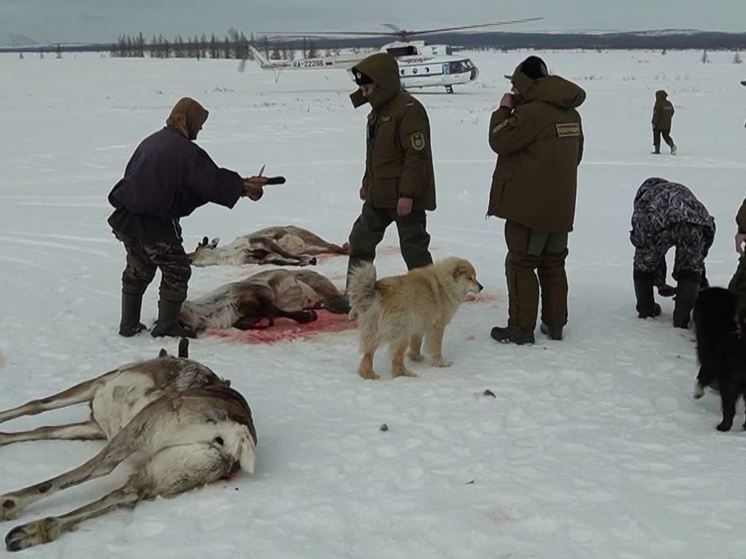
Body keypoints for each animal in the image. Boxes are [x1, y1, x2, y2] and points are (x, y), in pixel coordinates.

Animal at [688, 286, 744, 430]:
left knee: (728, 407)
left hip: (728, 380)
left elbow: (702, 376)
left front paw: (697, 393)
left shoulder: (709, 357)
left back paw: (722, 427)